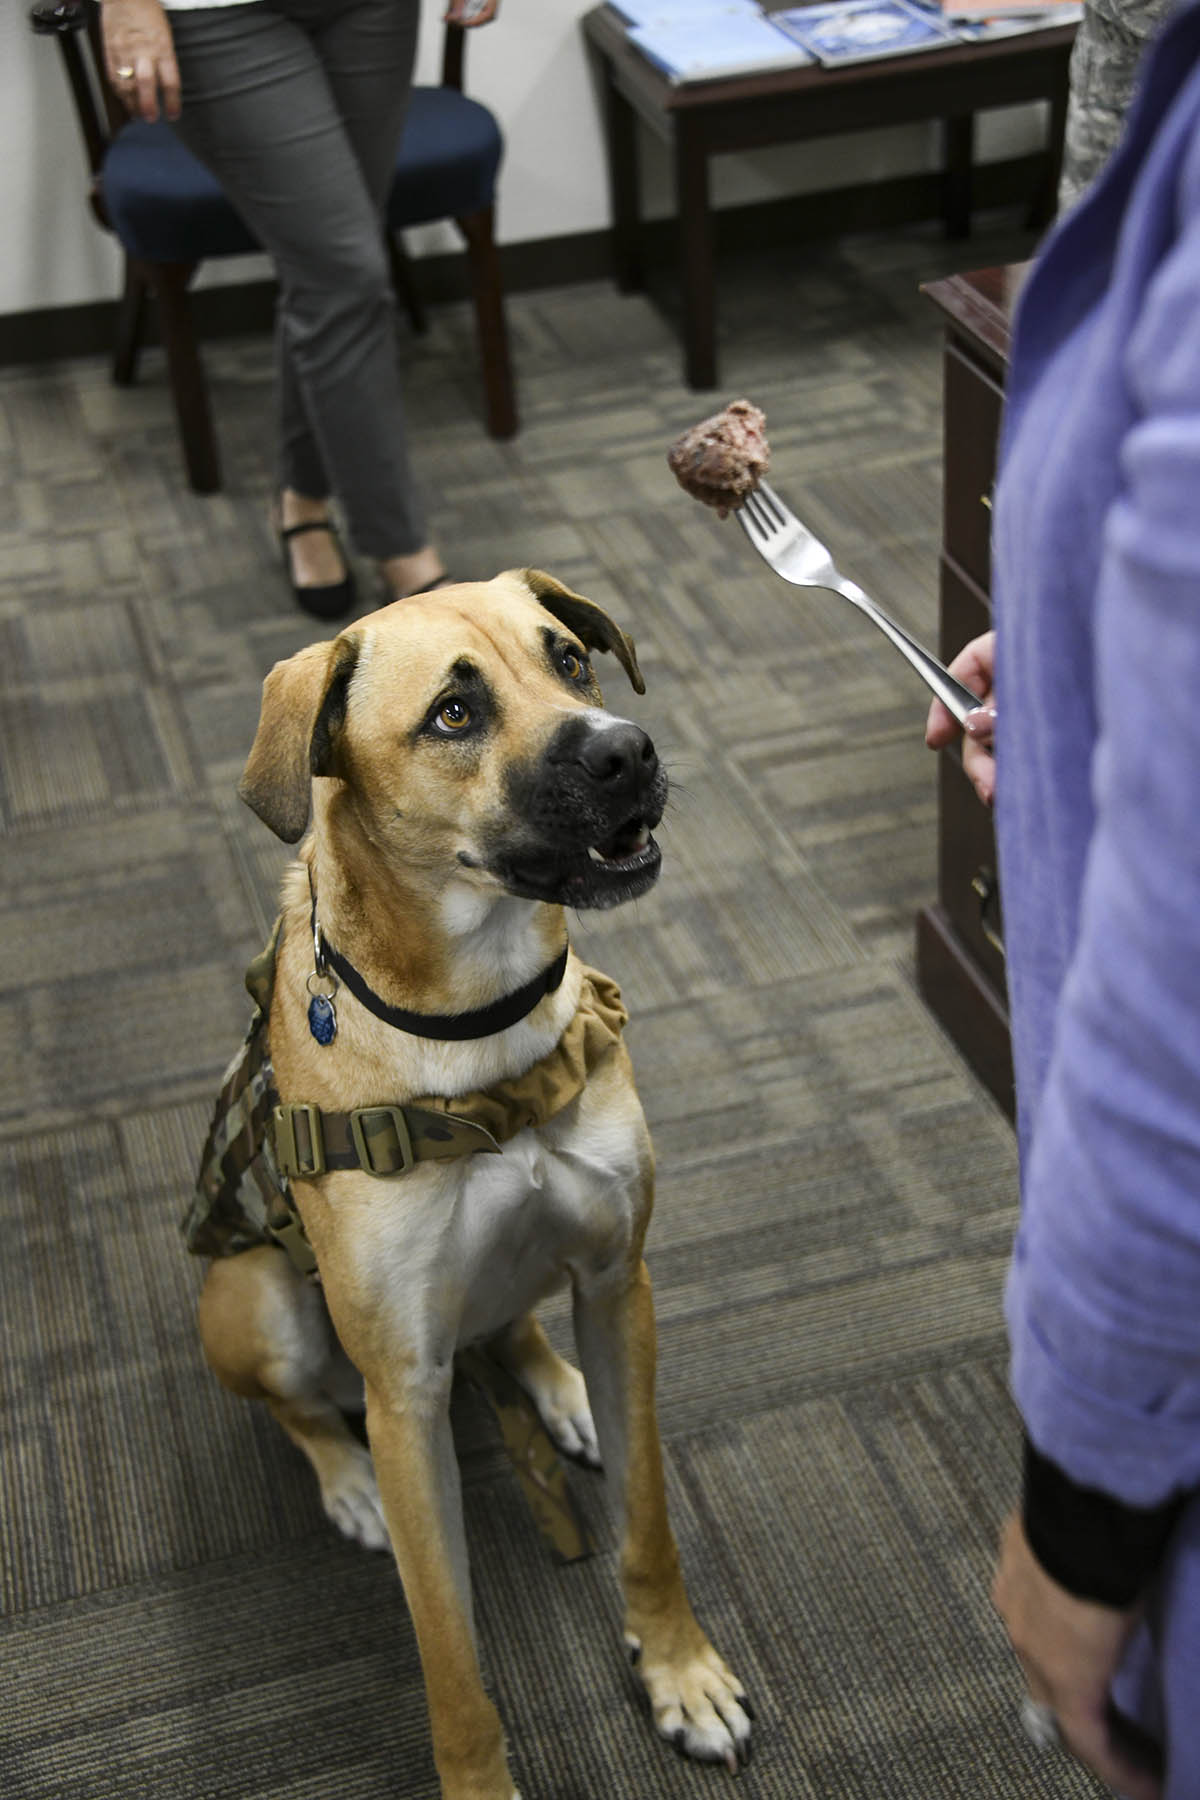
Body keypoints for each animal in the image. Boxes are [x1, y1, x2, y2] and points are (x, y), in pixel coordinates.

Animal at [194, 569, 751, 1800]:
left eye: (571, 661)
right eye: (453, 714)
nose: (627, 753)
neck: (477, 1030)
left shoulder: (618, 1279)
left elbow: (648, 1522)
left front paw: (679, 1669)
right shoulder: (405, 1396)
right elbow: (449, 1659)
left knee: (516, 1325)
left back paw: (561, 1390)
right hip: (255, 1304)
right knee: (298, 1408)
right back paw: (344, 1481)